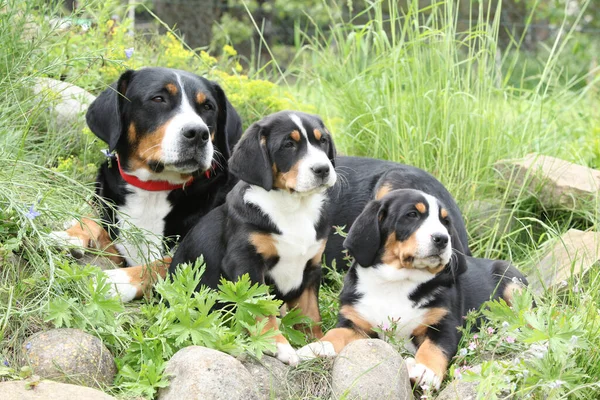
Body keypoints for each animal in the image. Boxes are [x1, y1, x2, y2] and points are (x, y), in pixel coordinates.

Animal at [170, 111, 338, 364]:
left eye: (323, 141)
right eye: (288, 145)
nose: (322, 169)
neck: (294, 208)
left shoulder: (311, 266)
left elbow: (310, 313)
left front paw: (318, 343)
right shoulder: (246, 262)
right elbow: (260, 307)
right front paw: (277, 344)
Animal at [298, 189, 524, 390]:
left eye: (445, 222)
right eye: (412, 215)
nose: (442, 239)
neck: (397, 282)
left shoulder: (444, 325)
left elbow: (433, 349)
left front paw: (425, 371)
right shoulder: (355, 323)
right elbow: (335, 334)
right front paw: (313, 348)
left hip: (512, 281)